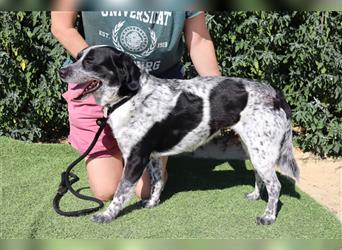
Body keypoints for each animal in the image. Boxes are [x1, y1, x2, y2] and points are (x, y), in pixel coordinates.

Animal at [59, 45, 300, 225]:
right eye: (78, 58)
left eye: (90, 62)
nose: (61, 71)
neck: (130, 97)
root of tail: (275, 94)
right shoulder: (154, 156)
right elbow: (157, 182)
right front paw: (152, 203)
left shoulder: (136, 158)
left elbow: (121, 192)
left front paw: (107, 215)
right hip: (254, 149)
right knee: (260, 176)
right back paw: (255, 196)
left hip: (262, 151)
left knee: (275, 185)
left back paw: (268, 216)